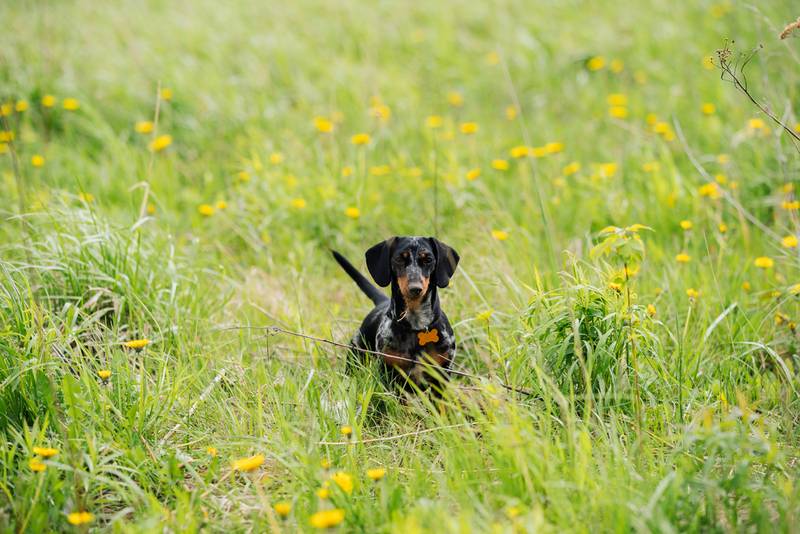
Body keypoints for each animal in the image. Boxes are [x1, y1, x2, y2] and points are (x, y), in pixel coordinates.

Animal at [332, 237, 460, 396]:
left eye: (428, 259)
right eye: (399, 258)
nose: (415, 288)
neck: (415, 325)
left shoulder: (441, 376)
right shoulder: (391, 375)